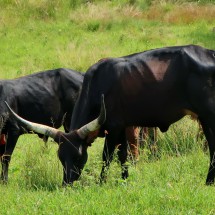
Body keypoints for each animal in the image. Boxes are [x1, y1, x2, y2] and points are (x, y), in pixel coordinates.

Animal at [5, 45, 215, 185]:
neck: (98, 84)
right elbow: (123, 156)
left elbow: (107, 156)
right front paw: (124, 180)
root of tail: (210, 53)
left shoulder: (114, 128)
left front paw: (102, 182)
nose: (67, 184)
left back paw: (209, 181)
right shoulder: (122, 129)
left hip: (207, 116)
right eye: (60, 156)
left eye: (79, 156)